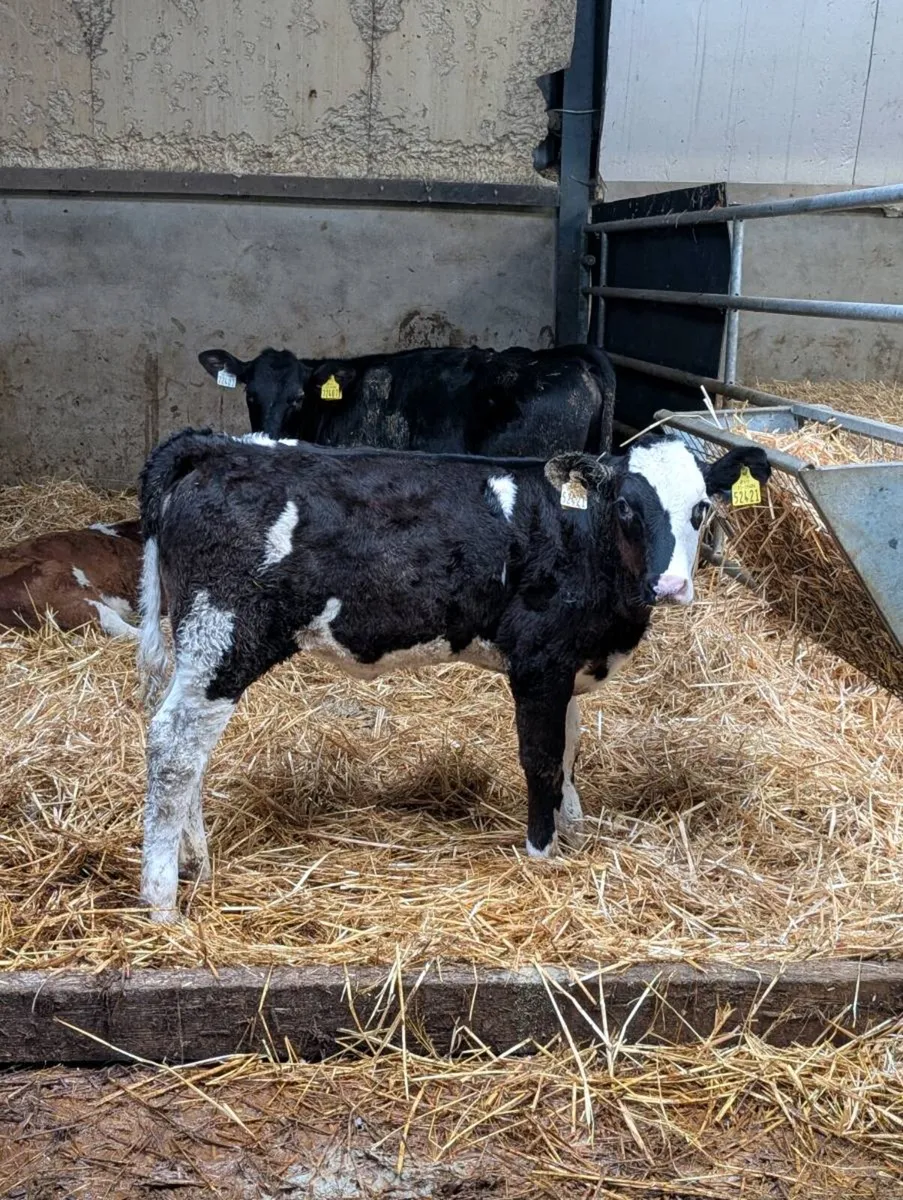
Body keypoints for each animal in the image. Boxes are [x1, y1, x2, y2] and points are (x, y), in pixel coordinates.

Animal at [135, 427, 770, 921]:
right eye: (626, 509)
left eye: (701, 509)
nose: (670, 586)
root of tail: (218, 447)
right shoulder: (538, 661)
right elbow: (541, 759)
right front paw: (542, 853)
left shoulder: (566, 665)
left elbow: (569, 750)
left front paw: (575, 832)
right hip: (225, 632)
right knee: (175, 747)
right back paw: (163, 900)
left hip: (199, 641)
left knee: (188, 747)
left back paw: (197, 864)